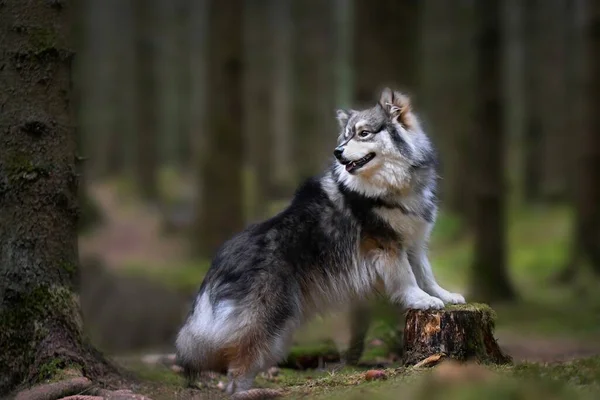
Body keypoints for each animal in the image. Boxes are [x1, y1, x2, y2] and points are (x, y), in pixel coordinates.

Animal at [176, 86, 466, 396]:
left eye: (363, 133)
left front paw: (443, 295)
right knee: (236, 371)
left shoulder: (413, 244)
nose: (337, 152)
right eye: (346, 136)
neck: (390, 187)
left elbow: (426, 274)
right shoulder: (386, 246)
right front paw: (421, 300)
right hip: (266, 321)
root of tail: (219, 260)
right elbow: (407, 279)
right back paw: (248, 392)